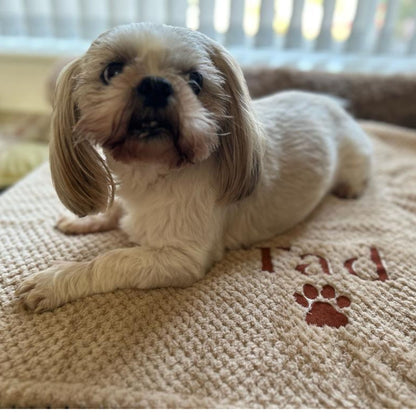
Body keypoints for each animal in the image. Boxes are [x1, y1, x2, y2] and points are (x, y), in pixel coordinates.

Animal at [17, 21, 372, 310]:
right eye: (111, 70)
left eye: (196, 80)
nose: (155, 84)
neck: (153, 174)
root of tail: (329, 101)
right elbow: (114, 208)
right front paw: (88, 220)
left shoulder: (180, 258)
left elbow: (111, 260)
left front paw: (56, 280)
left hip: (354, 153)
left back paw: (352, 187)